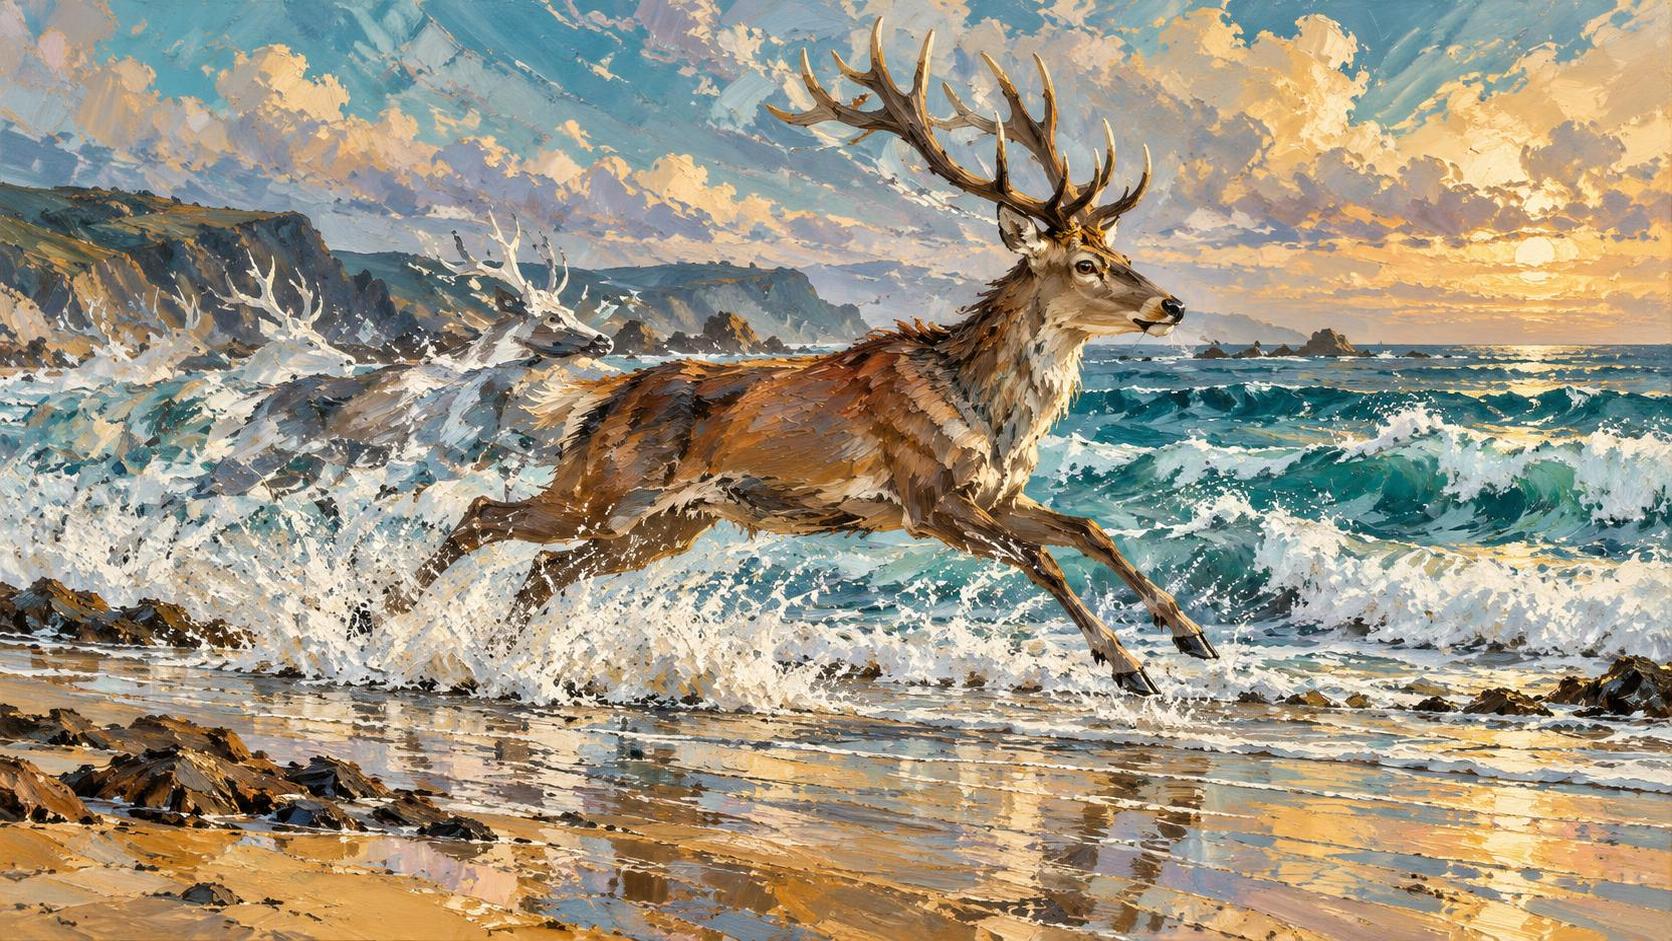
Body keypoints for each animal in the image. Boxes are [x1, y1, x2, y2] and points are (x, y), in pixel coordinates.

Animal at [382, 18, 1216, 695]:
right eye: (1085, 265)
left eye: (1121, 253)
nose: (1171, 305)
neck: (989, 411)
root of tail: (598, 397)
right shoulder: (926, 495)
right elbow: (1042, 560)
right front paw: (1129, 666)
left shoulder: (998, 494)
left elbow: (1089, 528)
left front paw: (1190, 635)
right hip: (604, 487)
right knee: (484, 515)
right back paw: (378, 621)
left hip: (661, 522)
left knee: (543, 569)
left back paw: (489, 660)